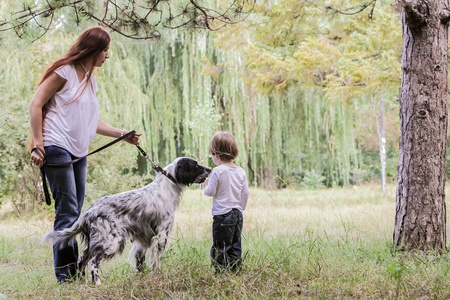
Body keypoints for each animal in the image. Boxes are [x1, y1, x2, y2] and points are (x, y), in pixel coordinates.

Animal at [42, 158, 211, 284]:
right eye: (196, 165)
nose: (210, 169)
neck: (167, 187)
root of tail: (89, 211)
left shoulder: (142, 240)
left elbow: (140, 262)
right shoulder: (161, 236)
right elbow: (156, 261)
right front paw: (157, 276)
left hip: (96, 242)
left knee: (81, 260)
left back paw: (83, 282)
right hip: (112, 241)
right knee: (93, 263)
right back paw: (97, 283)